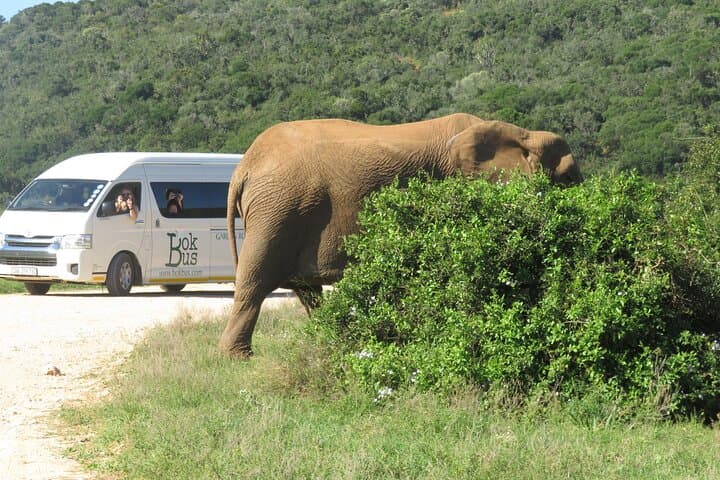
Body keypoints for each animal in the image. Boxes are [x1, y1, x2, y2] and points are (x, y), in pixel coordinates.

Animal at [222, 113, 581, 356]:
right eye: (567, 178)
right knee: (254, 283)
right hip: (278, 210)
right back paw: (239, 358)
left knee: (307, 292)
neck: (523, 133)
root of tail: (244, 167)